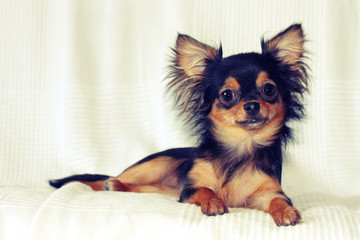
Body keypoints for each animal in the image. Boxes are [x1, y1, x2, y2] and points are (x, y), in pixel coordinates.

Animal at [50, 24, 310, 227]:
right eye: (227, 95)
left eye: (269, 89)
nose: (253, 105)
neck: (240, 146)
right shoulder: (189, 189)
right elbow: (206, 189)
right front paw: (214, 201)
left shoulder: (266, 192)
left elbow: (278, 200)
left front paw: (286, 211)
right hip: (154, 164)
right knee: (116, 177)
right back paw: (102, 183)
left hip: (162, 188)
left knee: (143, 189)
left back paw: (115, 186)